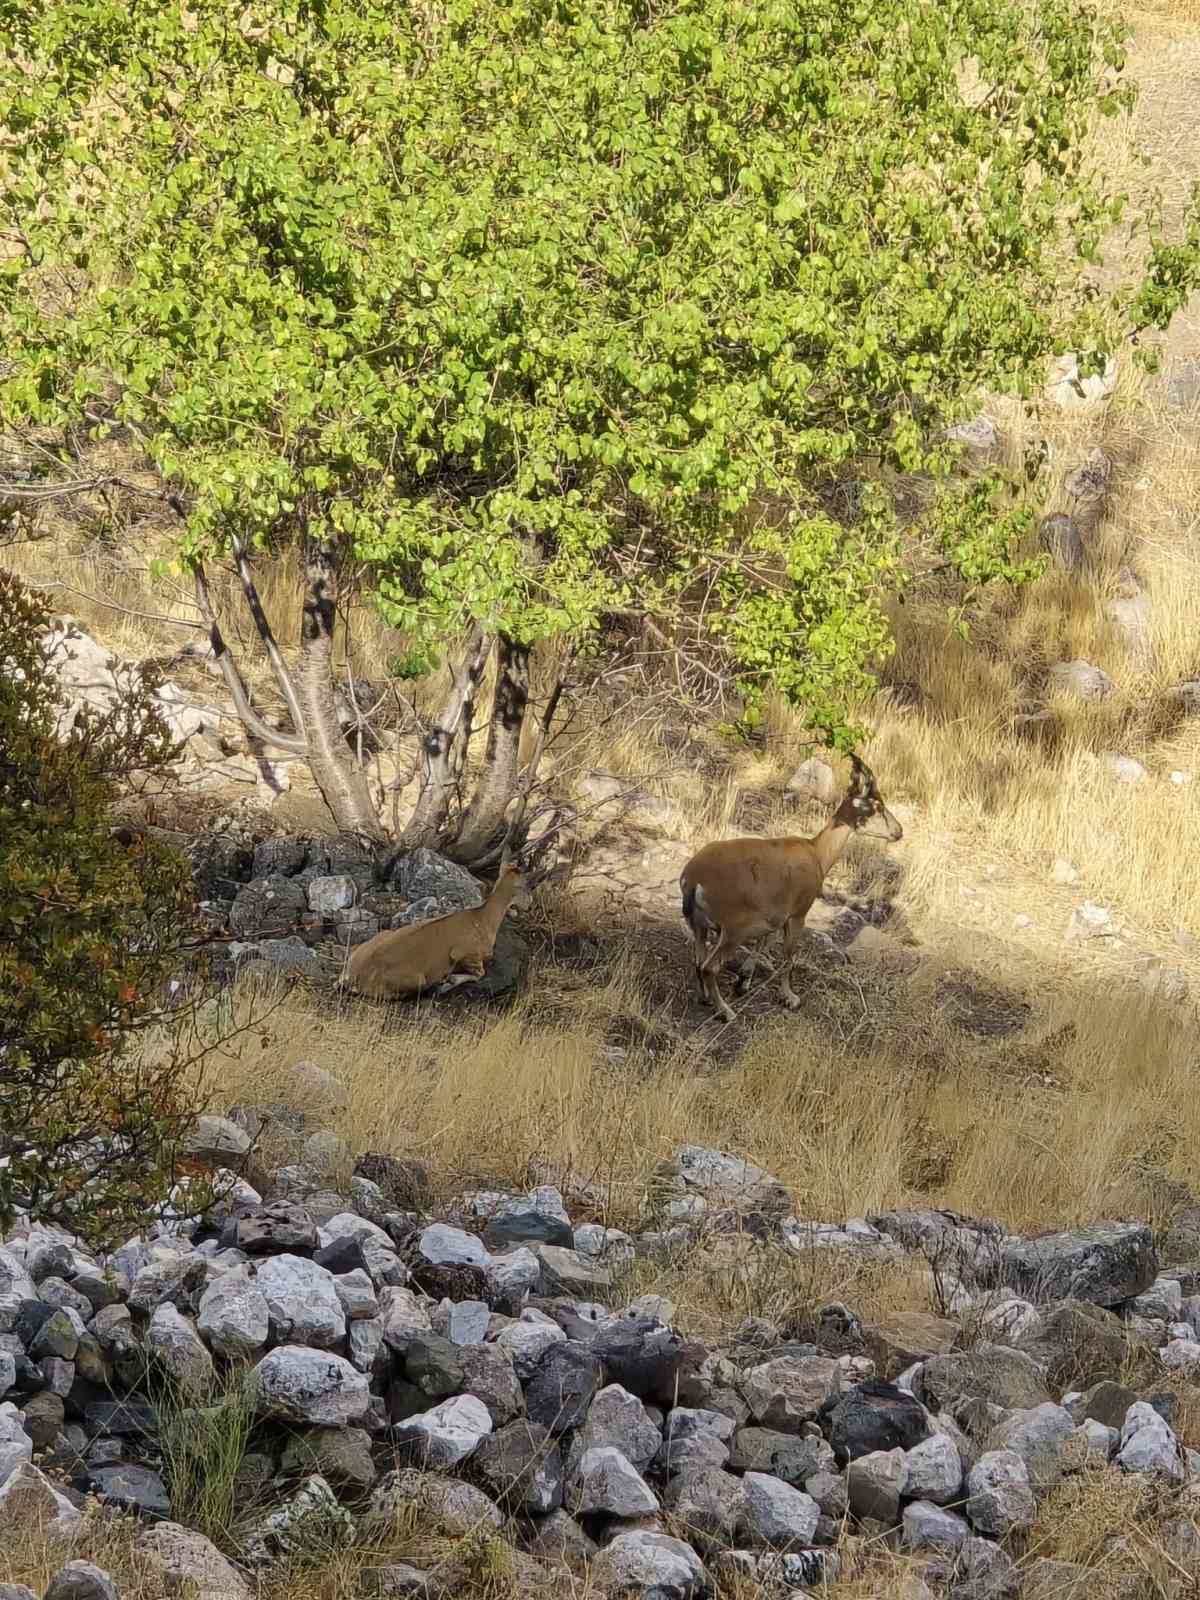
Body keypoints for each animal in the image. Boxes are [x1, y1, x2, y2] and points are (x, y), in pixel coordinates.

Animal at [340, 857, 524, 992]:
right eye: (525, 886)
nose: (525, 907)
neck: (482, 918)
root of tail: (354, 976)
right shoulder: (464, 953)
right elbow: (479, 973)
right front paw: (449, 981)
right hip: (417, 980)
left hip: (380, 936)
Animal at [681, 755, 908, 1017]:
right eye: (877, 805)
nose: (898, 831)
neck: (817, 853)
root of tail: (693, 878)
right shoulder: (798, 914)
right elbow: (789, 957)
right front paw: (790, 997)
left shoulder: (775, 916)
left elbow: (764, 943)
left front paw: (744, 981)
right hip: (732, 931)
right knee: (710, 967)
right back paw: (726, 1011)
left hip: (699, 925)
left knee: (698, 961)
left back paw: (706, 999)